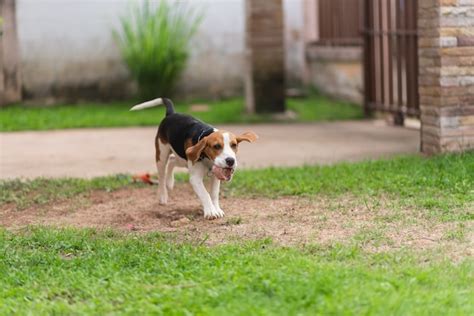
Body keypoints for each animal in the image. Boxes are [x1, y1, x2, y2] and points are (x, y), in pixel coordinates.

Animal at [130, 98, 258, 220]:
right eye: (216, 146)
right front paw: (210, 212)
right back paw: (162, 196)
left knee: (172, 161)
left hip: (183, 159)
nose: (230, 161)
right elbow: (205, 194)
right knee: (161, 176)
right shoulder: (195, 178)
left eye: (234, 145)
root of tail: (171, 114)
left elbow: (214, 194)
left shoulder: (215, 177)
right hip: (162, 155)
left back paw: (170, 182)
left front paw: (216, 209)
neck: (207, 158)